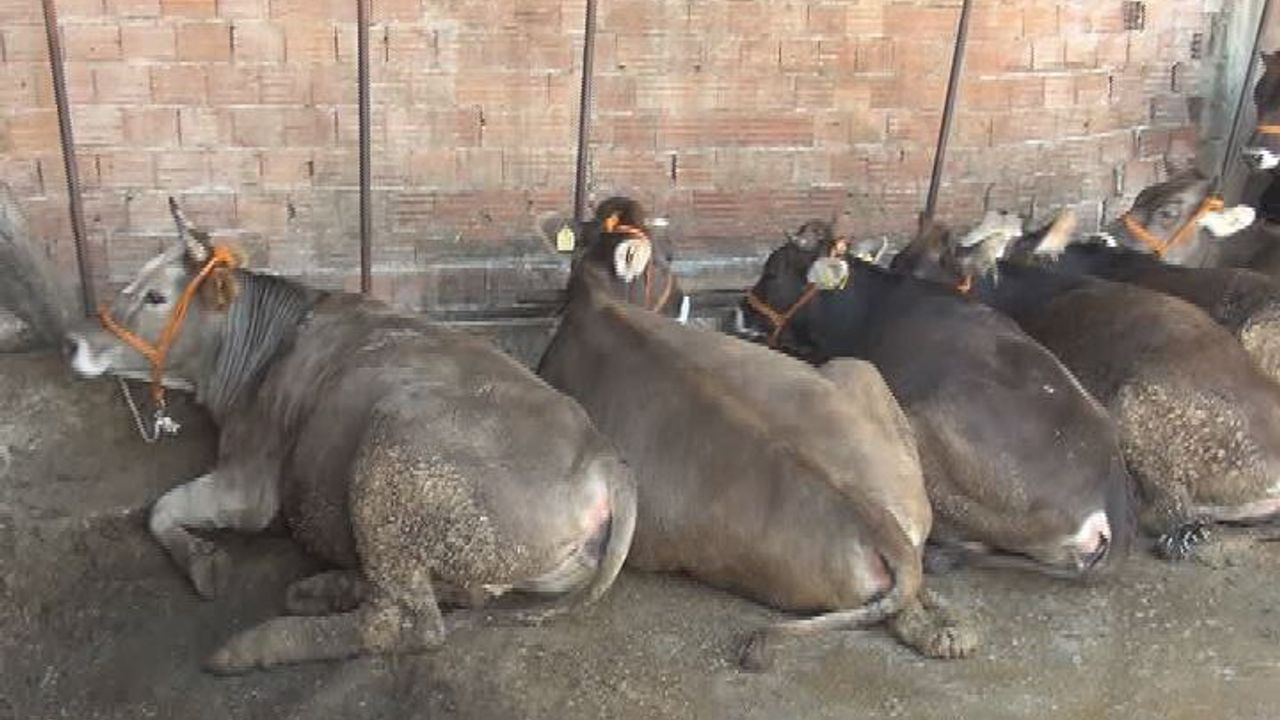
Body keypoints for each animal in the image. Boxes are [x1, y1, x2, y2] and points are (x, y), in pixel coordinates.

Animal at [63, 198, 637, 673]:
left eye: (156, 296)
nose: (73, 339)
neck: (258, 358)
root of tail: (607, 460)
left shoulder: (248, 484)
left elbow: (159, 508)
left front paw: (204, 564)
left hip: (392, 447)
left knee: (406, 622)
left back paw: (258, 642)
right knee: (454, 593)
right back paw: (330, 586)